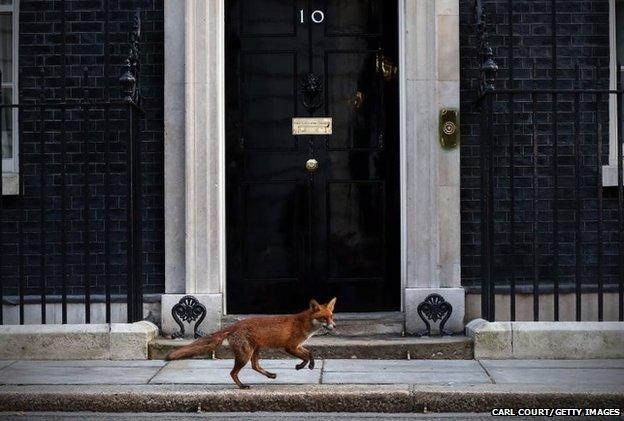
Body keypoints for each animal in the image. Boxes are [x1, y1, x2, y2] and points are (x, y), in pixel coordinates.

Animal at [163, 296, 334, 388]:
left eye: (331, 316)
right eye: (323, 318)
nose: (334, 326)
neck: (304, 324)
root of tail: (234, 325)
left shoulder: (298, 346)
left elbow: (310, 353)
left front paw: (309, 365)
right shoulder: (290, 347)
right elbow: (306, 356)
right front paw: (301, 366)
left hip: (255, 350)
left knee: (255, 366)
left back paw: (269, 375)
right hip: (245, 354)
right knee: (233, 373)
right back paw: (242, 386)